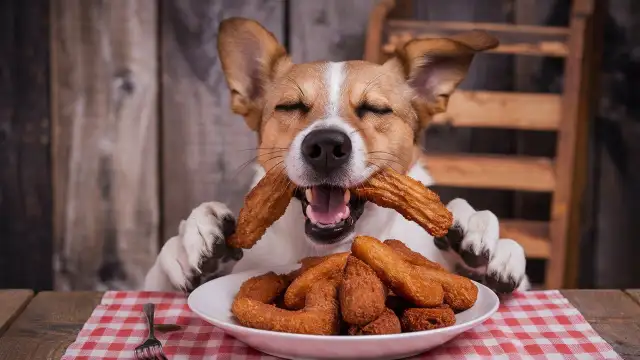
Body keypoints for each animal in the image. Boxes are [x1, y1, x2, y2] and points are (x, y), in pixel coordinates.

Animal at [145, 16, 528, 294]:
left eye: (375, 109)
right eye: (291, 106)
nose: (326, 147)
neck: (330, 250)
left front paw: (480, 233)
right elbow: (157, 278)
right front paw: (193, 236)